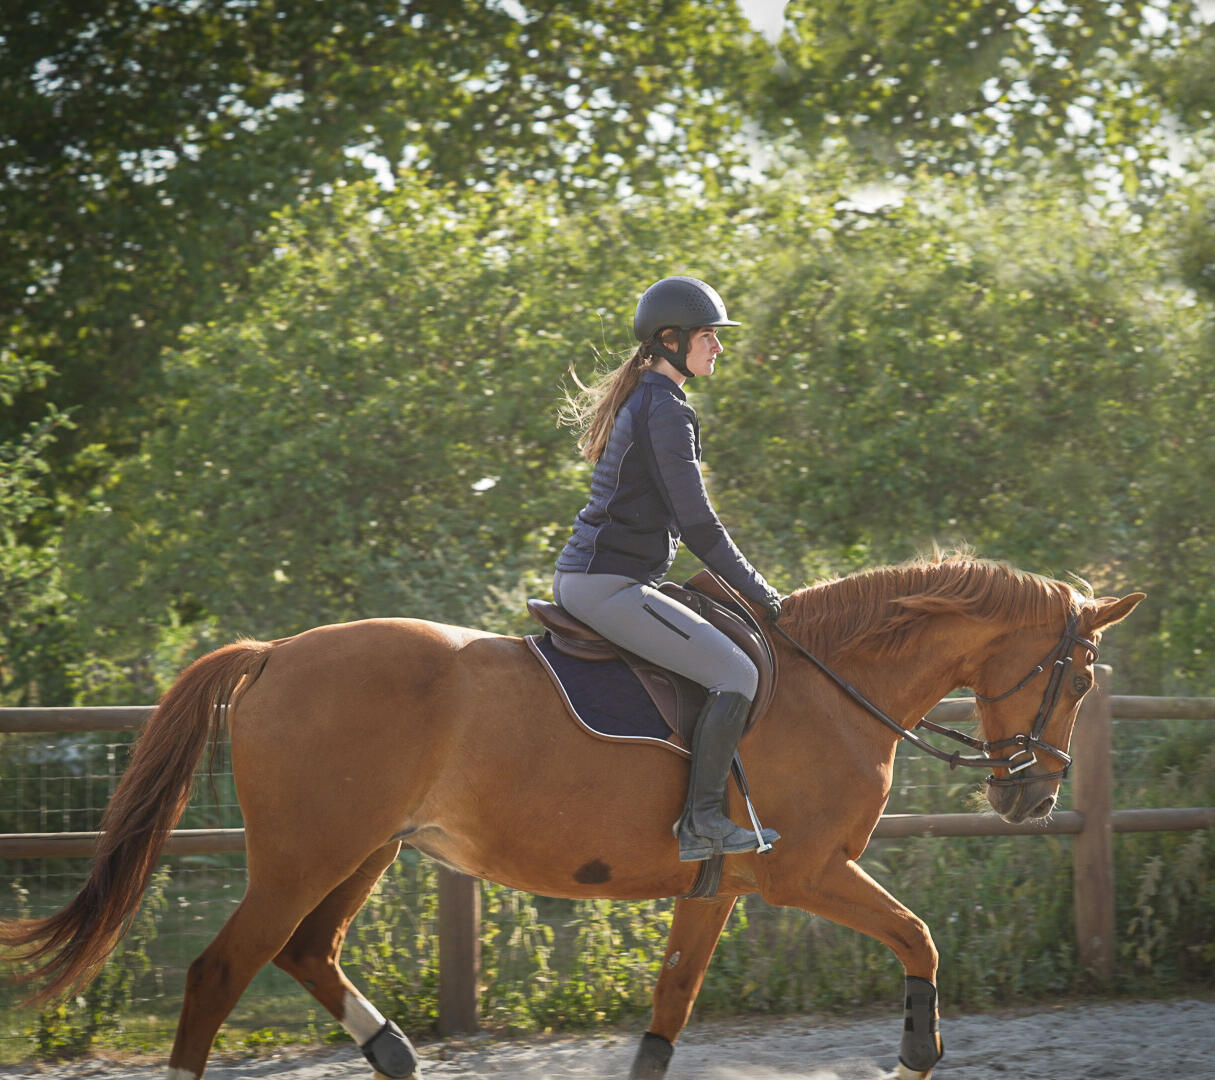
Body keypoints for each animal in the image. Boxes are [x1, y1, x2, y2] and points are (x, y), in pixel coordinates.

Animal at [0, 556, 1137, 1078]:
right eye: (1078, 675)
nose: (1031, 795)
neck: (831, 687)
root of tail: (275, 653)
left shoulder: (717, 885)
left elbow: (670, 1005)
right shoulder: (807, 871)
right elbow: (919, 936)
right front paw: (914, 1050)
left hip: (360, 852)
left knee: (307, 953)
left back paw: (400, 1055)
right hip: (304, 855)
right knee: (221, 972)